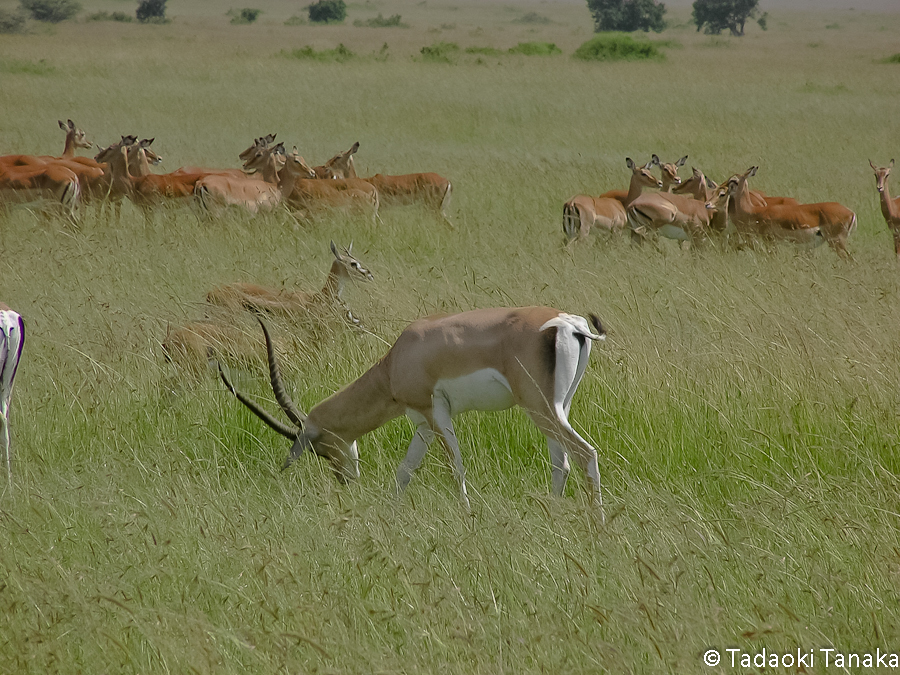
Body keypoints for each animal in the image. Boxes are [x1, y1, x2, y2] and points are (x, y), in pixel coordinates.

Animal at [219, 308, 608, 512]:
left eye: (322, 450)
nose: (345, 480)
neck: (397, 360)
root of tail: (570, 324)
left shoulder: (435, 413)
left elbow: (455, 467)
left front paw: (467, 515)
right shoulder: (421, 423)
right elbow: (404, 471)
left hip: (540, 409)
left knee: (585, 453)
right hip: (556, 408)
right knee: (562, 464)